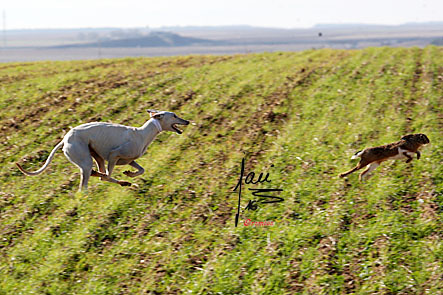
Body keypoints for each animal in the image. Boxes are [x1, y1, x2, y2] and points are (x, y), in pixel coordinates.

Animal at [15, 110, 188, 192]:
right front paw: (126, 177)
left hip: (95, 155)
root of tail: (65, 139)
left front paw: (130, 174)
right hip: (85, 159)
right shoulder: (113, 155)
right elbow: (108, 176)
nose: (187, 121)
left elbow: (141, 169)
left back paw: (119, 180)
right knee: (89, 183)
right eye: (174, 115)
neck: (142, 133)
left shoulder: (129, 159)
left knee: (99, 174)